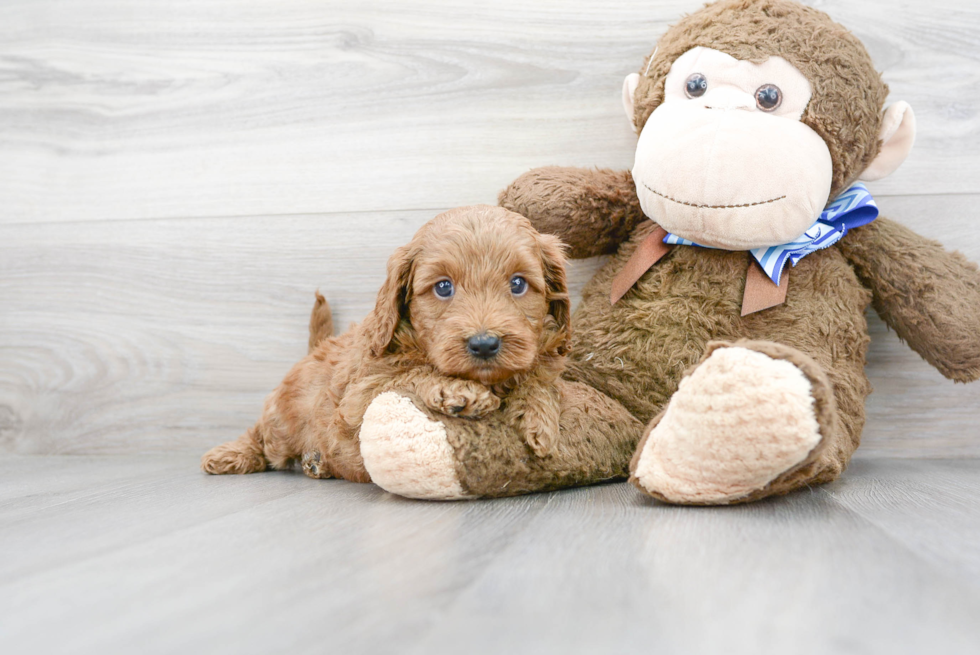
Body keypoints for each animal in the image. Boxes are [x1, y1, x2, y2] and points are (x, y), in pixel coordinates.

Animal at [203, 205, 572, 482]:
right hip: (281, 424)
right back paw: (231, 455)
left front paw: (540, 418)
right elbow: (408, 373)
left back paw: (317, 463)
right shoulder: (356, 399)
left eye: (518, 284)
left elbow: (539, 377)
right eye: (443, 287)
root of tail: (315, 349)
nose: (484, 344)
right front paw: (457, 390)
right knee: (262, 437)